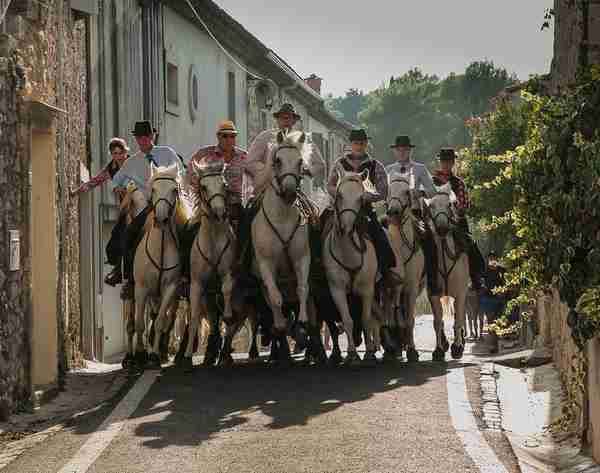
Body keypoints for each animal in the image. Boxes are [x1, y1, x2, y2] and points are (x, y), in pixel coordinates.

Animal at [324, 169, 380, 366]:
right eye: (339, 195)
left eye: (360, 198)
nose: (347, 228)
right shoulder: (336, 289)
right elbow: (347, 320)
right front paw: (351, 354)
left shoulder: (368, 289)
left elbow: (366, 319)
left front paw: (369, 353)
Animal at [424, 183, 472, 360]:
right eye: (431, 206)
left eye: (451, 204)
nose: (442, 228)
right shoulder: (433, 294)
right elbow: (437, 321)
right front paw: (438, 350)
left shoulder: (460, 293)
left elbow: (458, 319)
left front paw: (457, 348)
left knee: (460, 317)